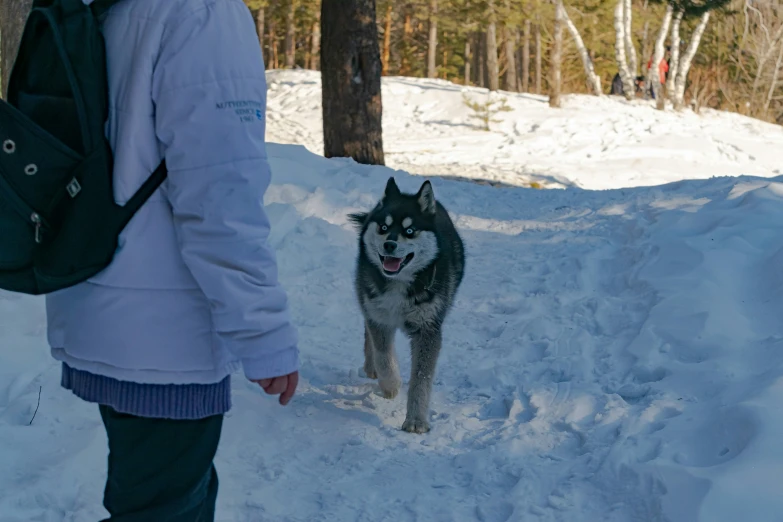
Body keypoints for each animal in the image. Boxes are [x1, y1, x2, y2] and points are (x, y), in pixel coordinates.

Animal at [350, 178, 466, 430]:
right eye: (383, 228)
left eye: (410, 231)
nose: (390, 245)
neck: (399, 283)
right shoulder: (379, 316)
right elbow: (384, 357)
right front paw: (391, 385)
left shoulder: (427, 329)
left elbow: (421, 380)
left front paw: (416, 420)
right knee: (368, 333)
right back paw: (371, 366)